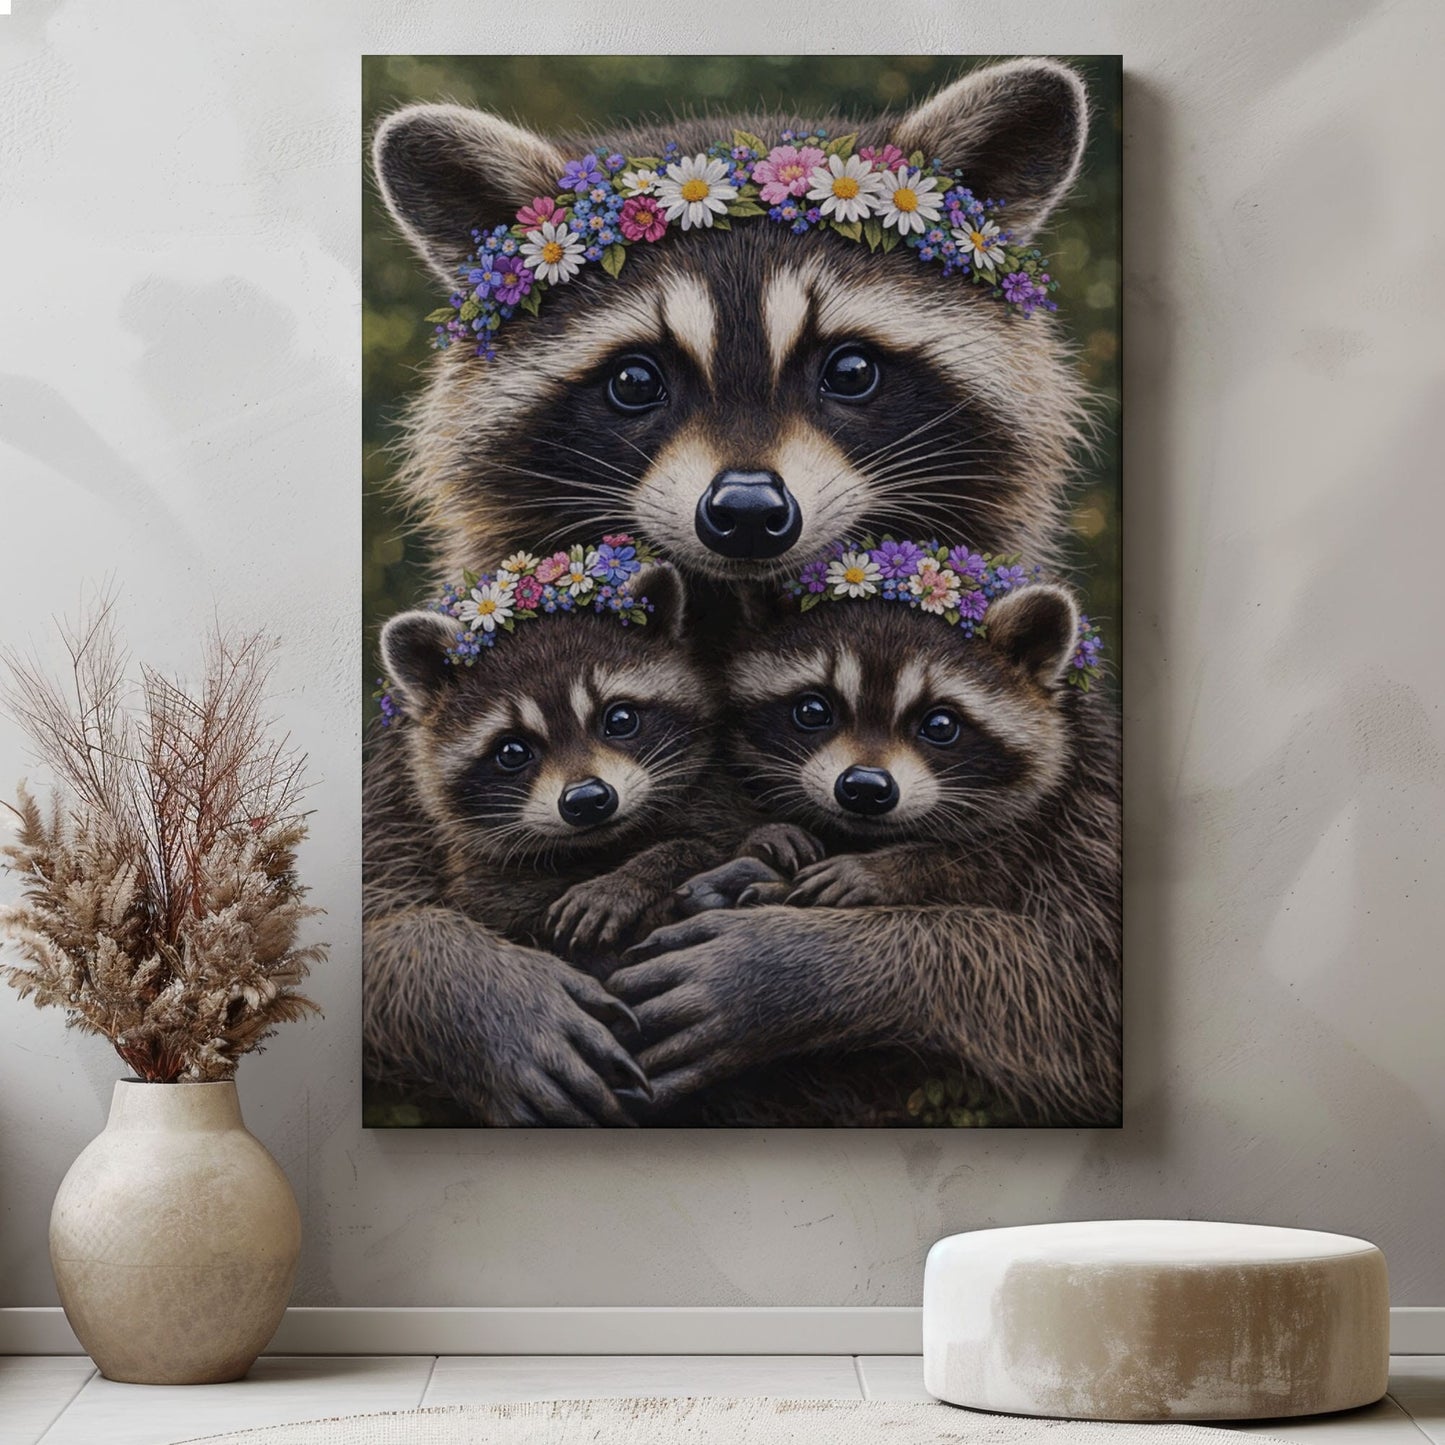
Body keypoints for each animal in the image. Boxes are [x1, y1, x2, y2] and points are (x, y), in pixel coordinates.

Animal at [365, 564, 738, 1126]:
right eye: (512, 751)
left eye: (619, 719)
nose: (587, 800)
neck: (599, 845)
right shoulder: (481, 874)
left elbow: (707, 841)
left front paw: (637, 875)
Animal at [608, 583, 1122, 1127]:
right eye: (813, 711)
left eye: (941, 724)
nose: (865, 788)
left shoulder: (1064, 829)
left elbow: (1022, 915)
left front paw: (885, 873)